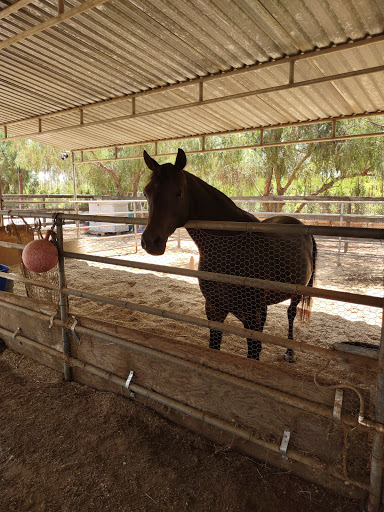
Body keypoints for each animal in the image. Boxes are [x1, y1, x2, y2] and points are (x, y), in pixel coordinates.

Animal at [141, 148, 318, 362]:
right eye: (146, 192)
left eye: (178, 192)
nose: (151, 241)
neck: (231, 246)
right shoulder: (215, 311)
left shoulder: (250, 317)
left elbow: (253, 352)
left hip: (296, 293)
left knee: (291, 314)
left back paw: (290, 352)